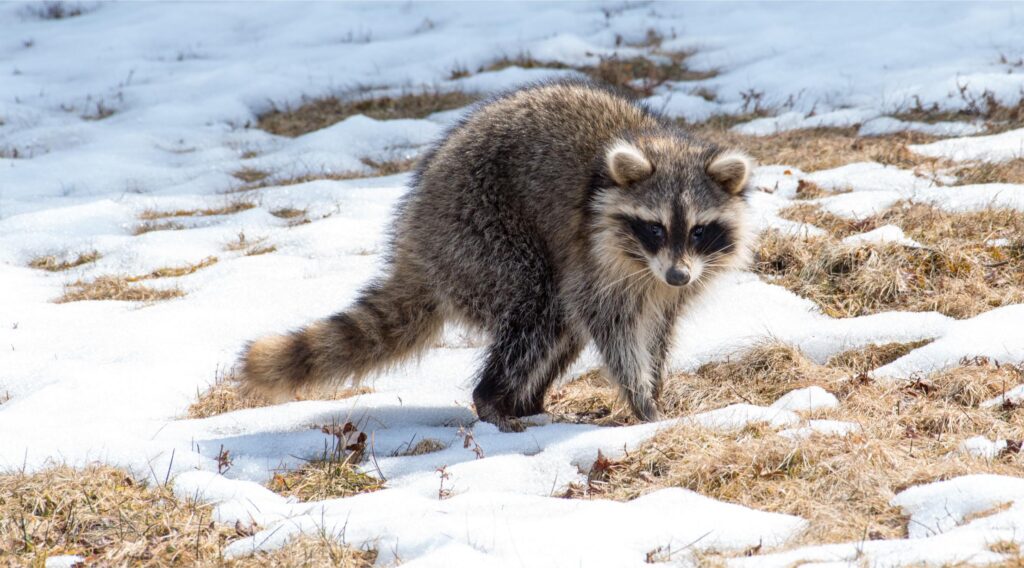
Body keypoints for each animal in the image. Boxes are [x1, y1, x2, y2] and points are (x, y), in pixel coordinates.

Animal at [240, 80, 753, 431]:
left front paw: (656, 383)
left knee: (559, 326)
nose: (678, 276)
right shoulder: (596, 254)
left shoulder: (666, 279)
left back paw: (525, 402)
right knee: (539, 310)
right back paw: (493, 401)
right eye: (655, 227)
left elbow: (658, 328)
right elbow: (612, 326)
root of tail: (414, 240)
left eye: (700, 230)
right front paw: (640, 398)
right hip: (479, 236)